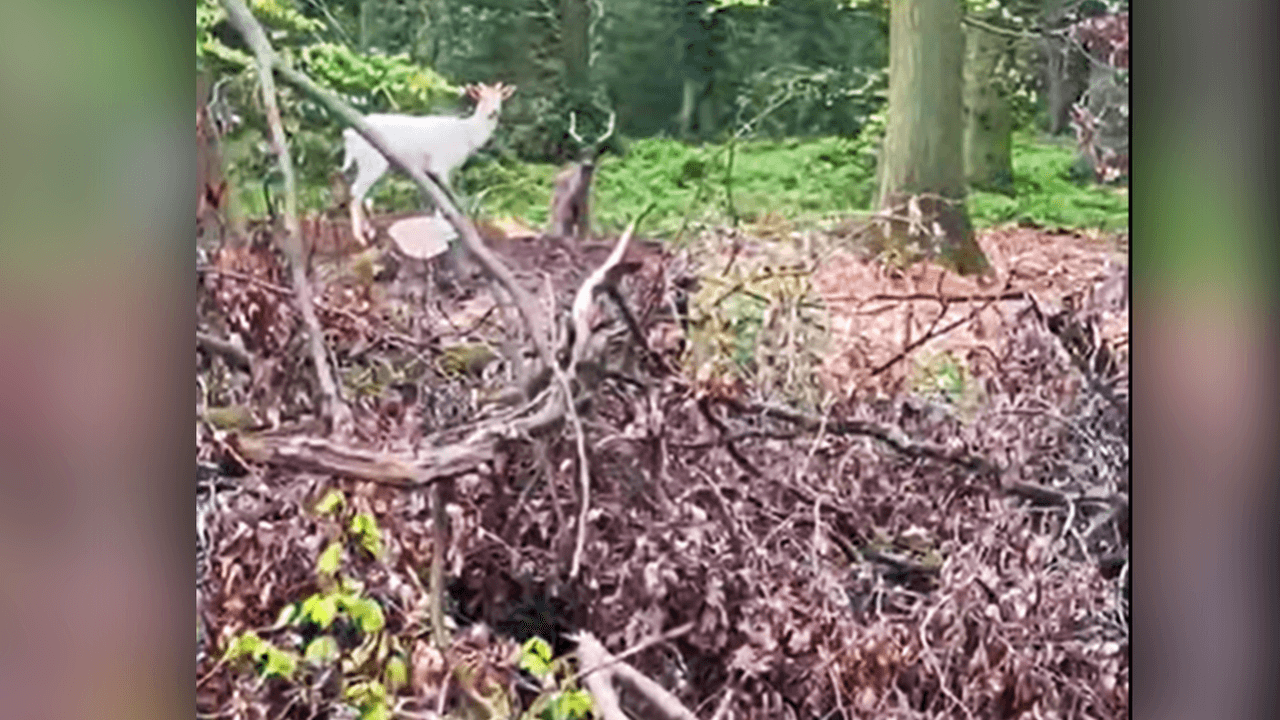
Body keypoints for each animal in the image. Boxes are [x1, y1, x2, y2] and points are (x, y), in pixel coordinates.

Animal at [341, 82, 516, 244]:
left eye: (500, 97)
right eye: (482, 97)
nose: (493, 112)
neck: (468, 136)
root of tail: (348, 135)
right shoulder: (441, 165)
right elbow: (445, 199)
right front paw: (446, 232)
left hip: (374, 164)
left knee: (366, 196)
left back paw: (370, 232)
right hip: (372, 161)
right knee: (356, 191)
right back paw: (360, 238)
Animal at [549, 108, 615, 243]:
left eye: (595, 153)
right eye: (581, 152)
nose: (588, 165)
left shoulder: (585, 219)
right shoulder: (564, 217)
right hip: (554, 209)